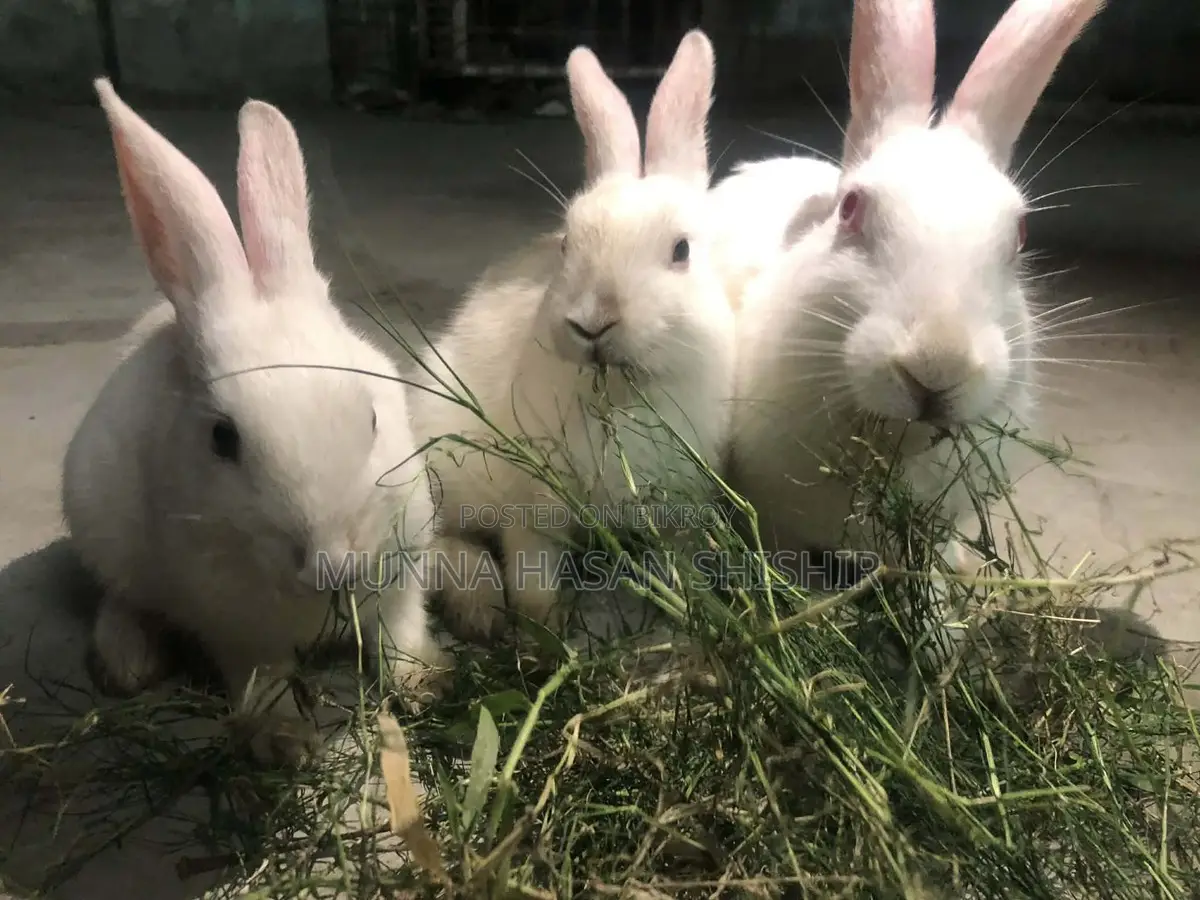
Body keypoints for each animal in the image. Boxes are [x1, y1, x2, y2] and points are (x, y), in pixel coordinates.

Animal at [61, 79, 451, 767]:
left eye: (372, 416)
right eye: (223, 439)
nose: (332, 563)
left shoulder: (402, 571)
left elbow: (401, 632)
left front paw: (424, 683)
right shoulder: (233, 624)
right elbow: (259, 678)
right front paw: (286, 742)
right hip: (98, 519)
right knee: (123, 598)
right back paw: (128, 664)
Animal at [409, 30, 736, 643]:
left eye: (681, 250)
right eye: (567, 244)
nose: (592, 322)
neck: (622, 393)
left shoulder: (679, 508)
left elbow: (682, 566)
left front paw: (694, 616)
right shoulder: (533, 507)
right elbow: (532, 572)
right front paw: (544, 633)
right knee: (441, 543)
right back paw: (479, 608)